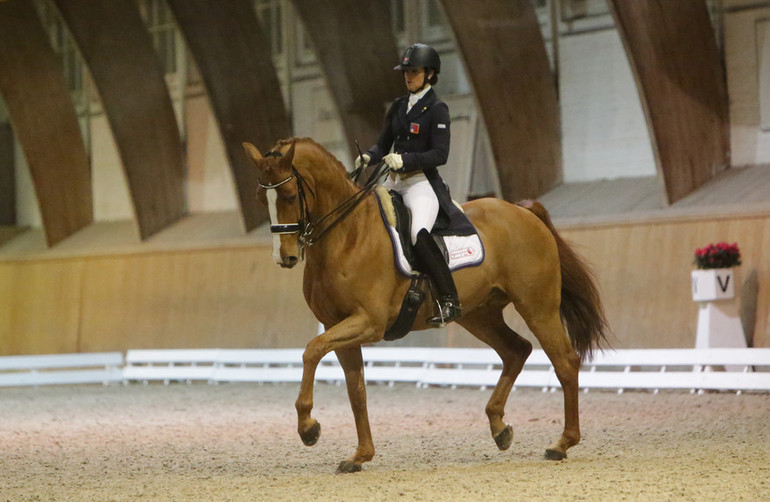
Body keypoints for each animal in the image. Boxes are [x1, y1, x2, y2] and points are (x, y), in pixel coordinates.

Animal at [240, 135, 608, 472]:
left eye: (289, 195)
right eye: (260, 197)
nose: (285, 257)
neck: (347, 235)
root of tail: (522, 210)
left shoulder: (368, 322)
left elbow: (311, 350)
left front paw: (308, 428)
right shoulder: (339, 326)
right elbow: (356, 389)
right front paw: (360, 455)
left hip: (537, 306)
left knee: (564, 362)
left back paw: (562, 443)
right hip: (478, 315)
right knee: (517, 350)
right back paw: (500, 428)